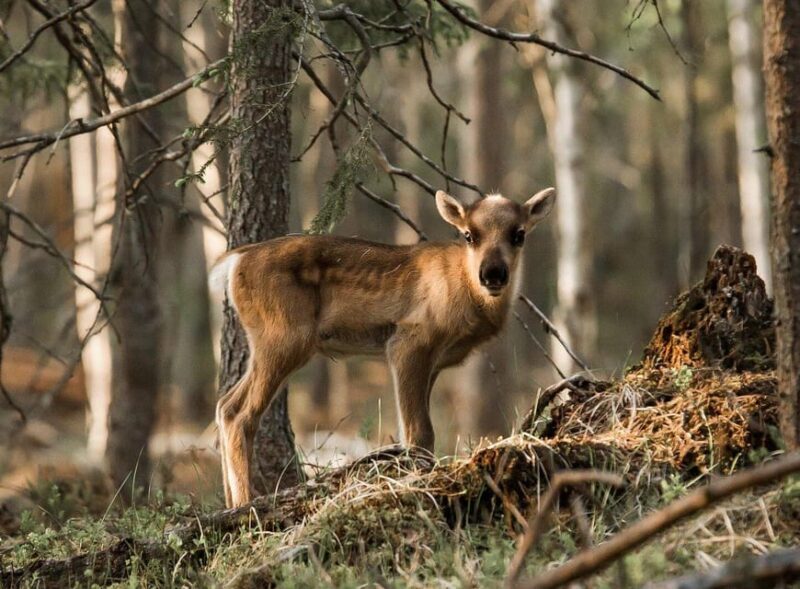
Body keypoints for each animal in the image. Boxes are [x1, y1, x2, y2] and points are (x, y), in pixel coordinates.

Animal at [210, 187, 556, 508]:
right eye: (469, 235)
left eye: (519, 234)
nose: (493, 274)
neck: (464, 295)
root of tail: (233, 262)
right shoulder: (409, 341)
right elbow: (419, 431)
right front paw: (420, 482)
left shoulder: (434, 362)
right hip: (284, 336)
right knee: (241, 414)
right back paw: (243, 504)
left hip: (271, 342)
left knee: (225, 404)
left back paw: (230, 501)